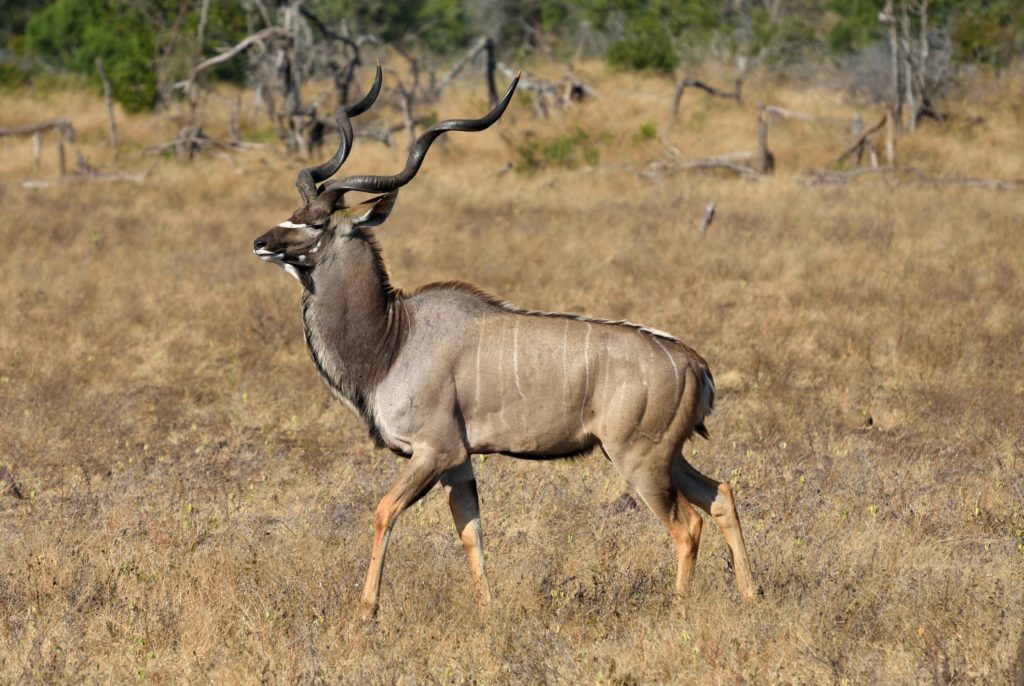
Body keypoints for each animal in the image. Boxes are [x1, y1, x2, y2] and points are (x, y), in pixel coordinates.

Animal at [251, 67, 757, 622]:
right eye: (294, 211)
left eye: (316, 223)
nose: (261, 242)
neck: (393, 338)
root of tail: (696, 365)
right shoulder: (458, 464)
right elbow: (471, 532)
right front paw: (487, 610)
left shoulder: (434, 451)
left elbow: (384, 512)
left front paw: (367, 611)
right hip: (666, 455)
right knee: (722, 494)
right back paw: (751, 594)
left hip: (639, 459)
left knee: (688, 526)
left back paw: (678, 612)